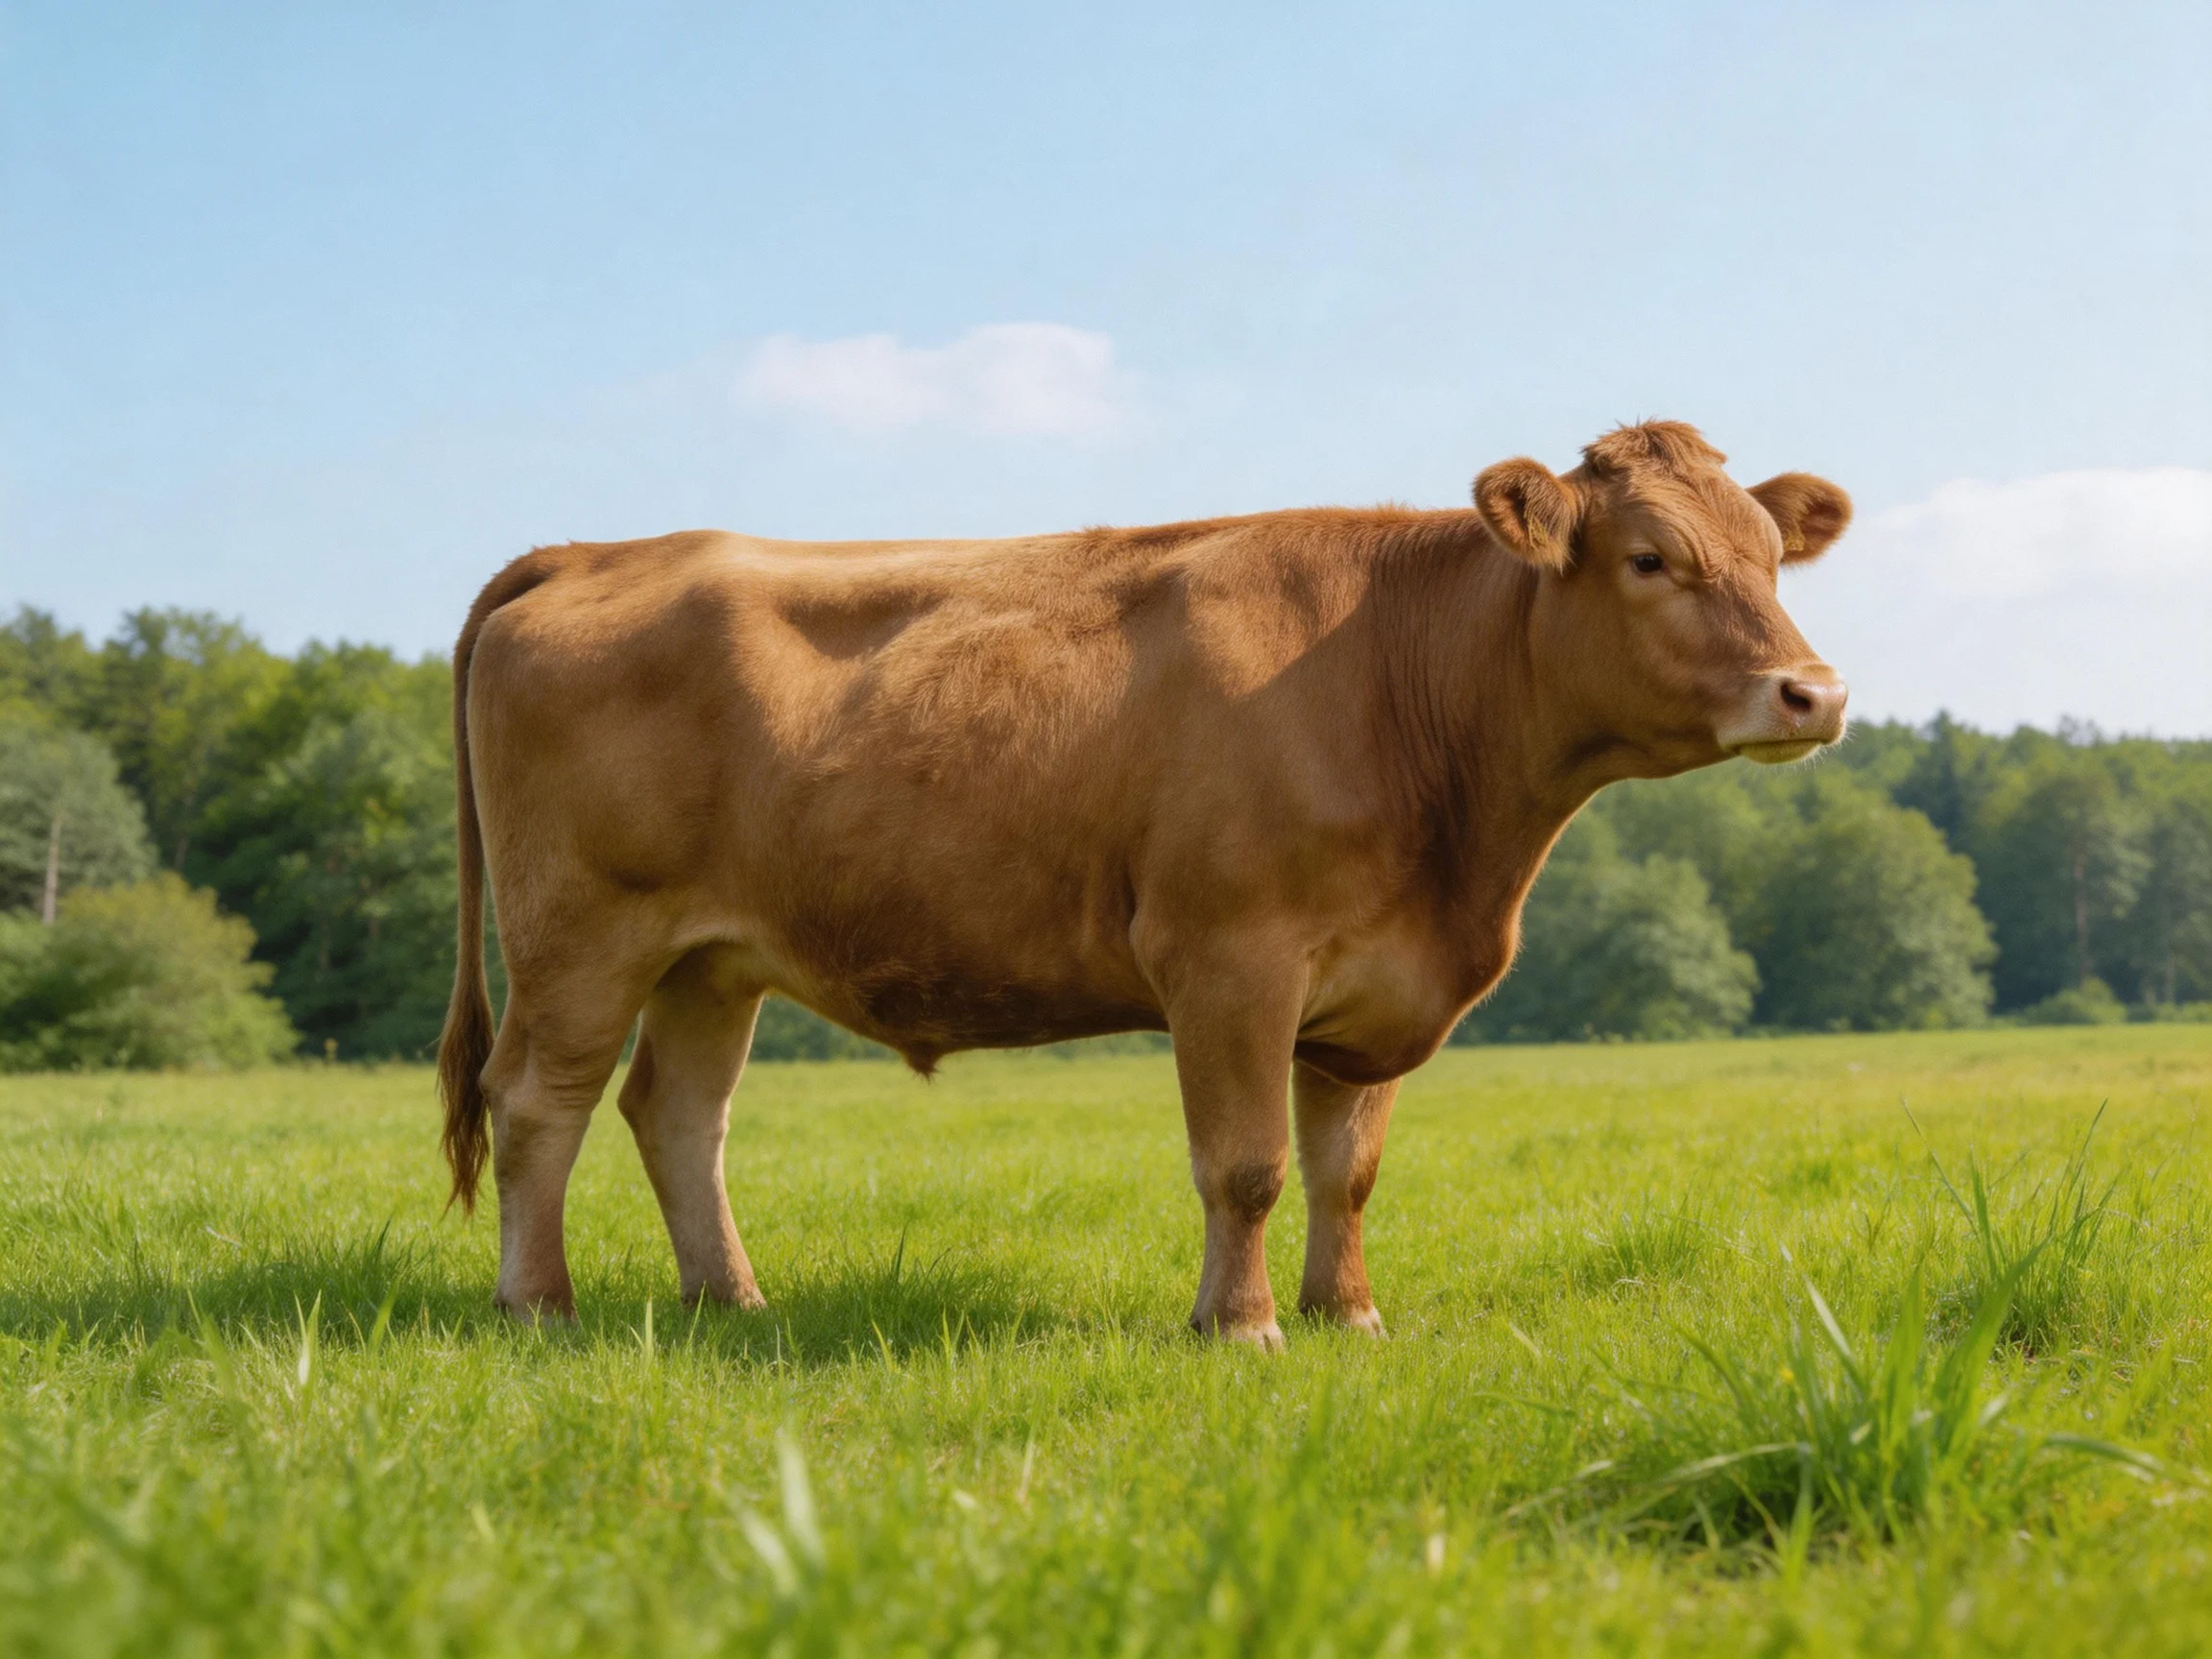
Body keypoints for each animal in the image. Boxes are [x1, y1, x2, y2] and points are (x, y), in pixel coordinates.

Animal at [436, 419, 1850, 1346]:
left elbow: (1346, 1170)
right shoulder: (1228, 958)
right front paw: (1242, 1327)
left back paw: (730, 1301)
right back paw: (539, 1306)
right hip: (582, 935)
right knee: (538, 1101)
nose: (1815, 692)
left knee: (677, 1114)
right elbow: (1247, 1164)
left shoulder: (1372, 993)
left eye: (1773, 556)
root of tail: (597, 550)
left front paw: (1349, 1316)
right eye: (1650, 559)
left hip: (710, 960)